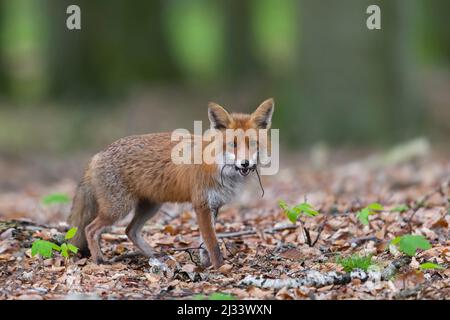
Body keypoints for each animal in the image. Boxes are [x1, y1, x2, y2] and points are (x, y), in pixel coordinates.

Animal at [67, 97, 274, 268]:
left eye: (253, 144)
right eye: (233, 145)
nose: (245, 163)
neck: (218, 166)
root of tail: (97, 155)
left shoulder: (214, 206)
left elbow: (204, 243)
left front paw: (205, 265)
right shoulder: (201, 204)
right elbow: (212, 243)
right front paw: (220, 268)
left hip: (150, 207)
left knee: (129, 231)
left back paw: (154, 256)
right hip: (118, 209)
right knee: (90, 229)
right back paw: (99, 260)